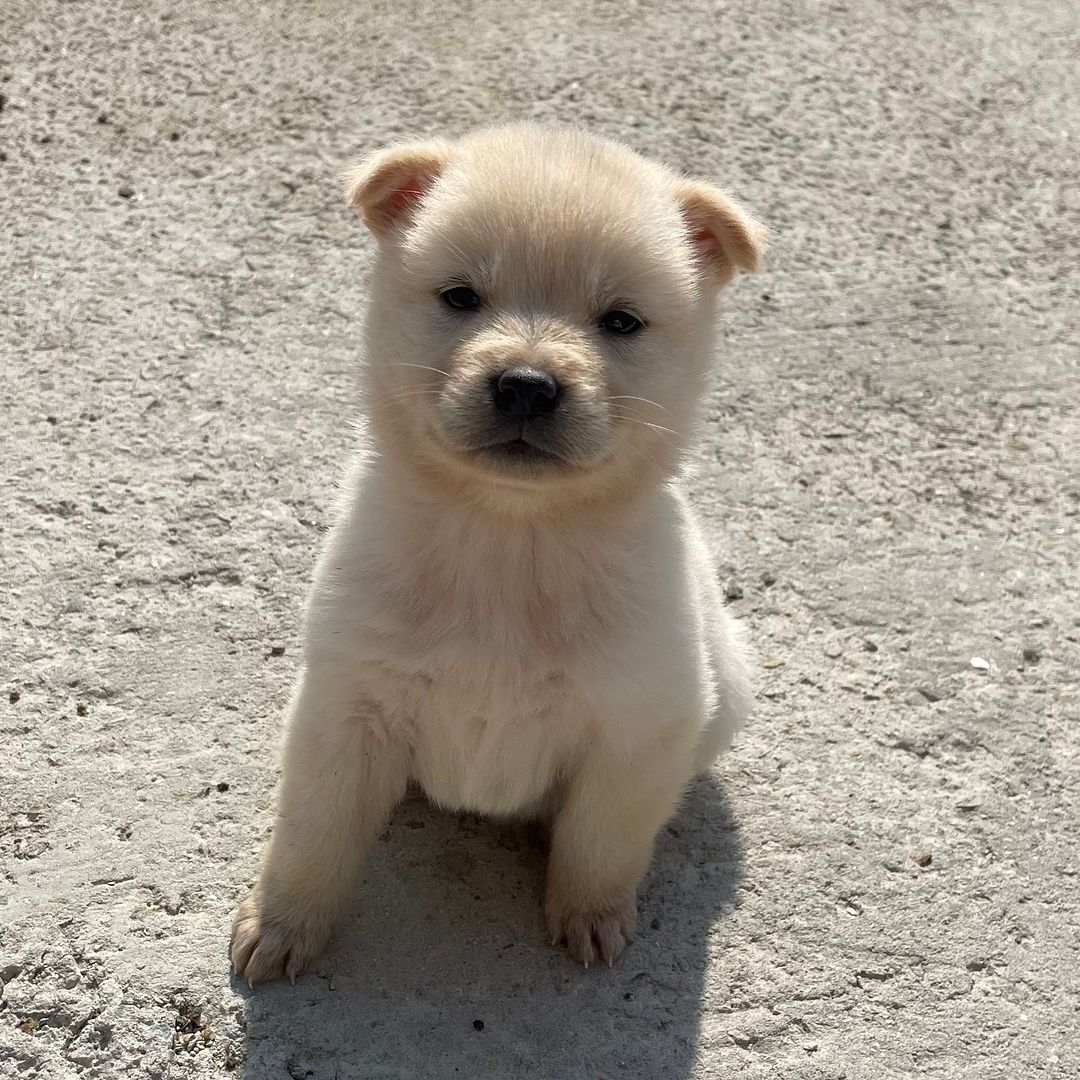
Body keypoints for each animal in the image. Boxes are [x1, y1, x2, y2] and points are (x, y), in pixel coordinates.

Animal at [232, 122, 764, 984]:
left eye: (621, 322)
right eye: (460, 297)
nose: (526, 384)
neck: (511, 537)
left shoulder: (638, 726)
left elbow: (600, 842)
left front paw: (591, 919)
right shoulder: (345, 707)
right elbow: (312, 836)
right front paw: (282, 928)